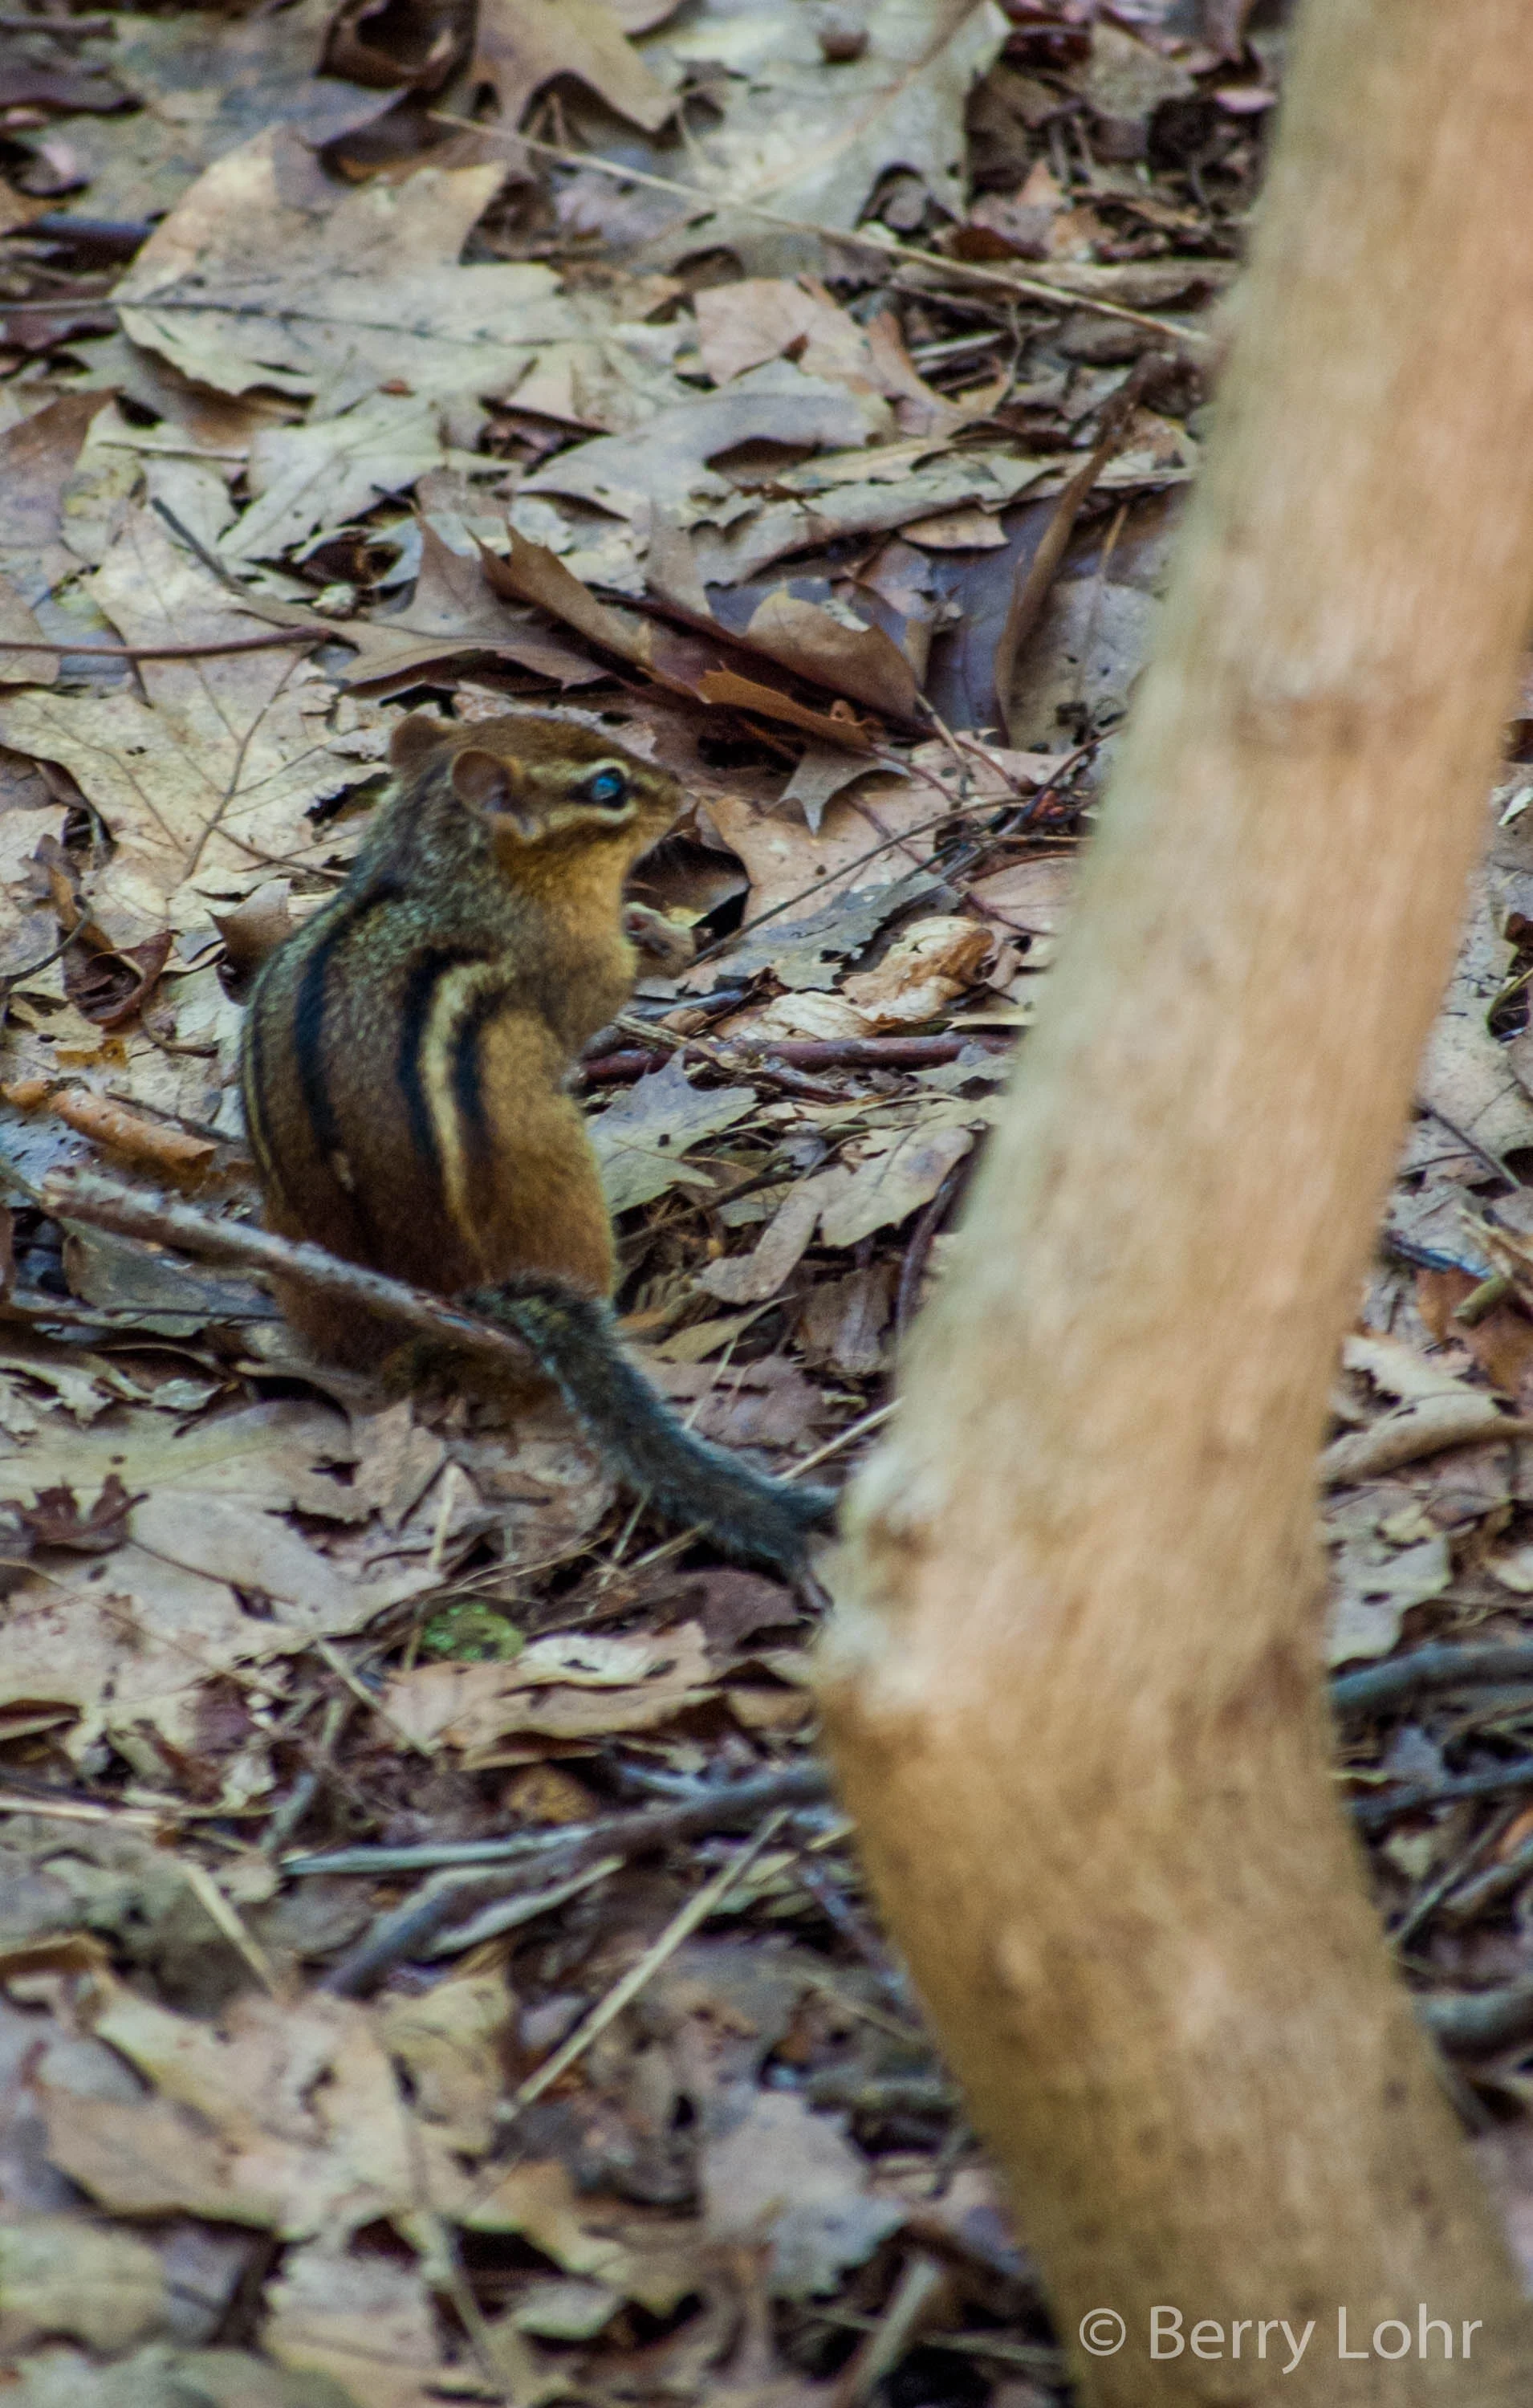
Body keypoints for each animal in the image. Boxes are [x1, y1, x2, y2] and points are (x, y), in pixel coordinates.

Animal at [238, 709, 834, 1573]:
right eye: (608, 786)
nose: (683, 793)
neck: (442, 873)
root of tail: (445, 1297)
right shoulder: (569, 962)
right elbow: (599, 994)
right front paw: (657, 939)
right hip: (561, 1174)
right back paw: (648, 1313)